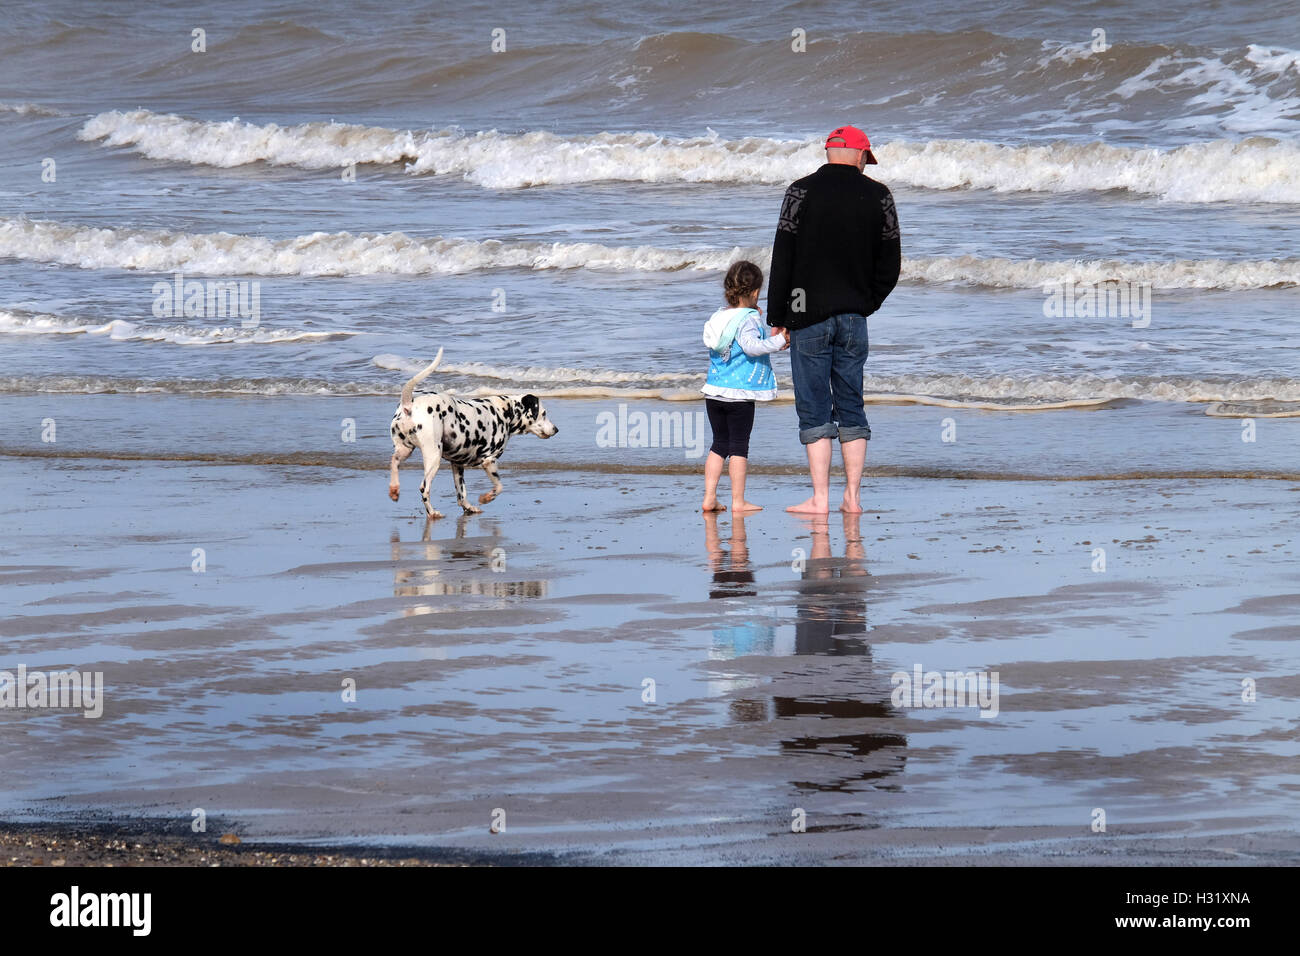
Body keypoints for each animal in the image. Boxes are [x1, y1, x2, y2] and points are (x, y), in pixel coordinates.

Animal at [392, 348, 561, 520]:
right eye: (544, 414)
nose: (556, 429)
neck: (505, 412)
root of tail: (409, 405)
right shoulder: (489, 461)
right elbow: (499, 486)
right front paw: (486, 497)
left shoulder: (457, 465)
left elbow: (461, 495)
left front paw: (469, 507)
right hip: (433, 458)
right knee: (424, 488)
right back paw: (432, 512)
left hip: (404, 450)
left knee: (394, 463)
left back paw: (394, 489)